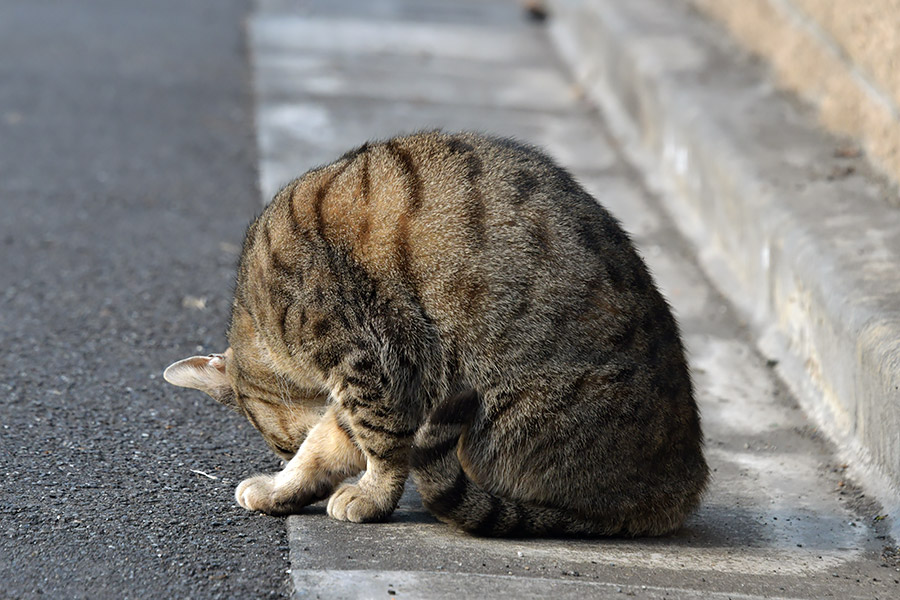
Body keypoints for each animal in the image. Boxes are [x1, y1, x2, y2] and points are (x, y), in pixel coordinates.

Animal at [165, 130, 708, 536]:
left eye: (278, 444)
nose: (279, 453)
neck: (261, 315)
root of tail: (685, 486)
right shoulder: (367, 381)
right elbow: (327, 445)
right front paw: (283, 488)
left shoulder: (372, 362)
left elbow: (378, 444)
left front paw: (369, 496)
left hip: (506, 412)